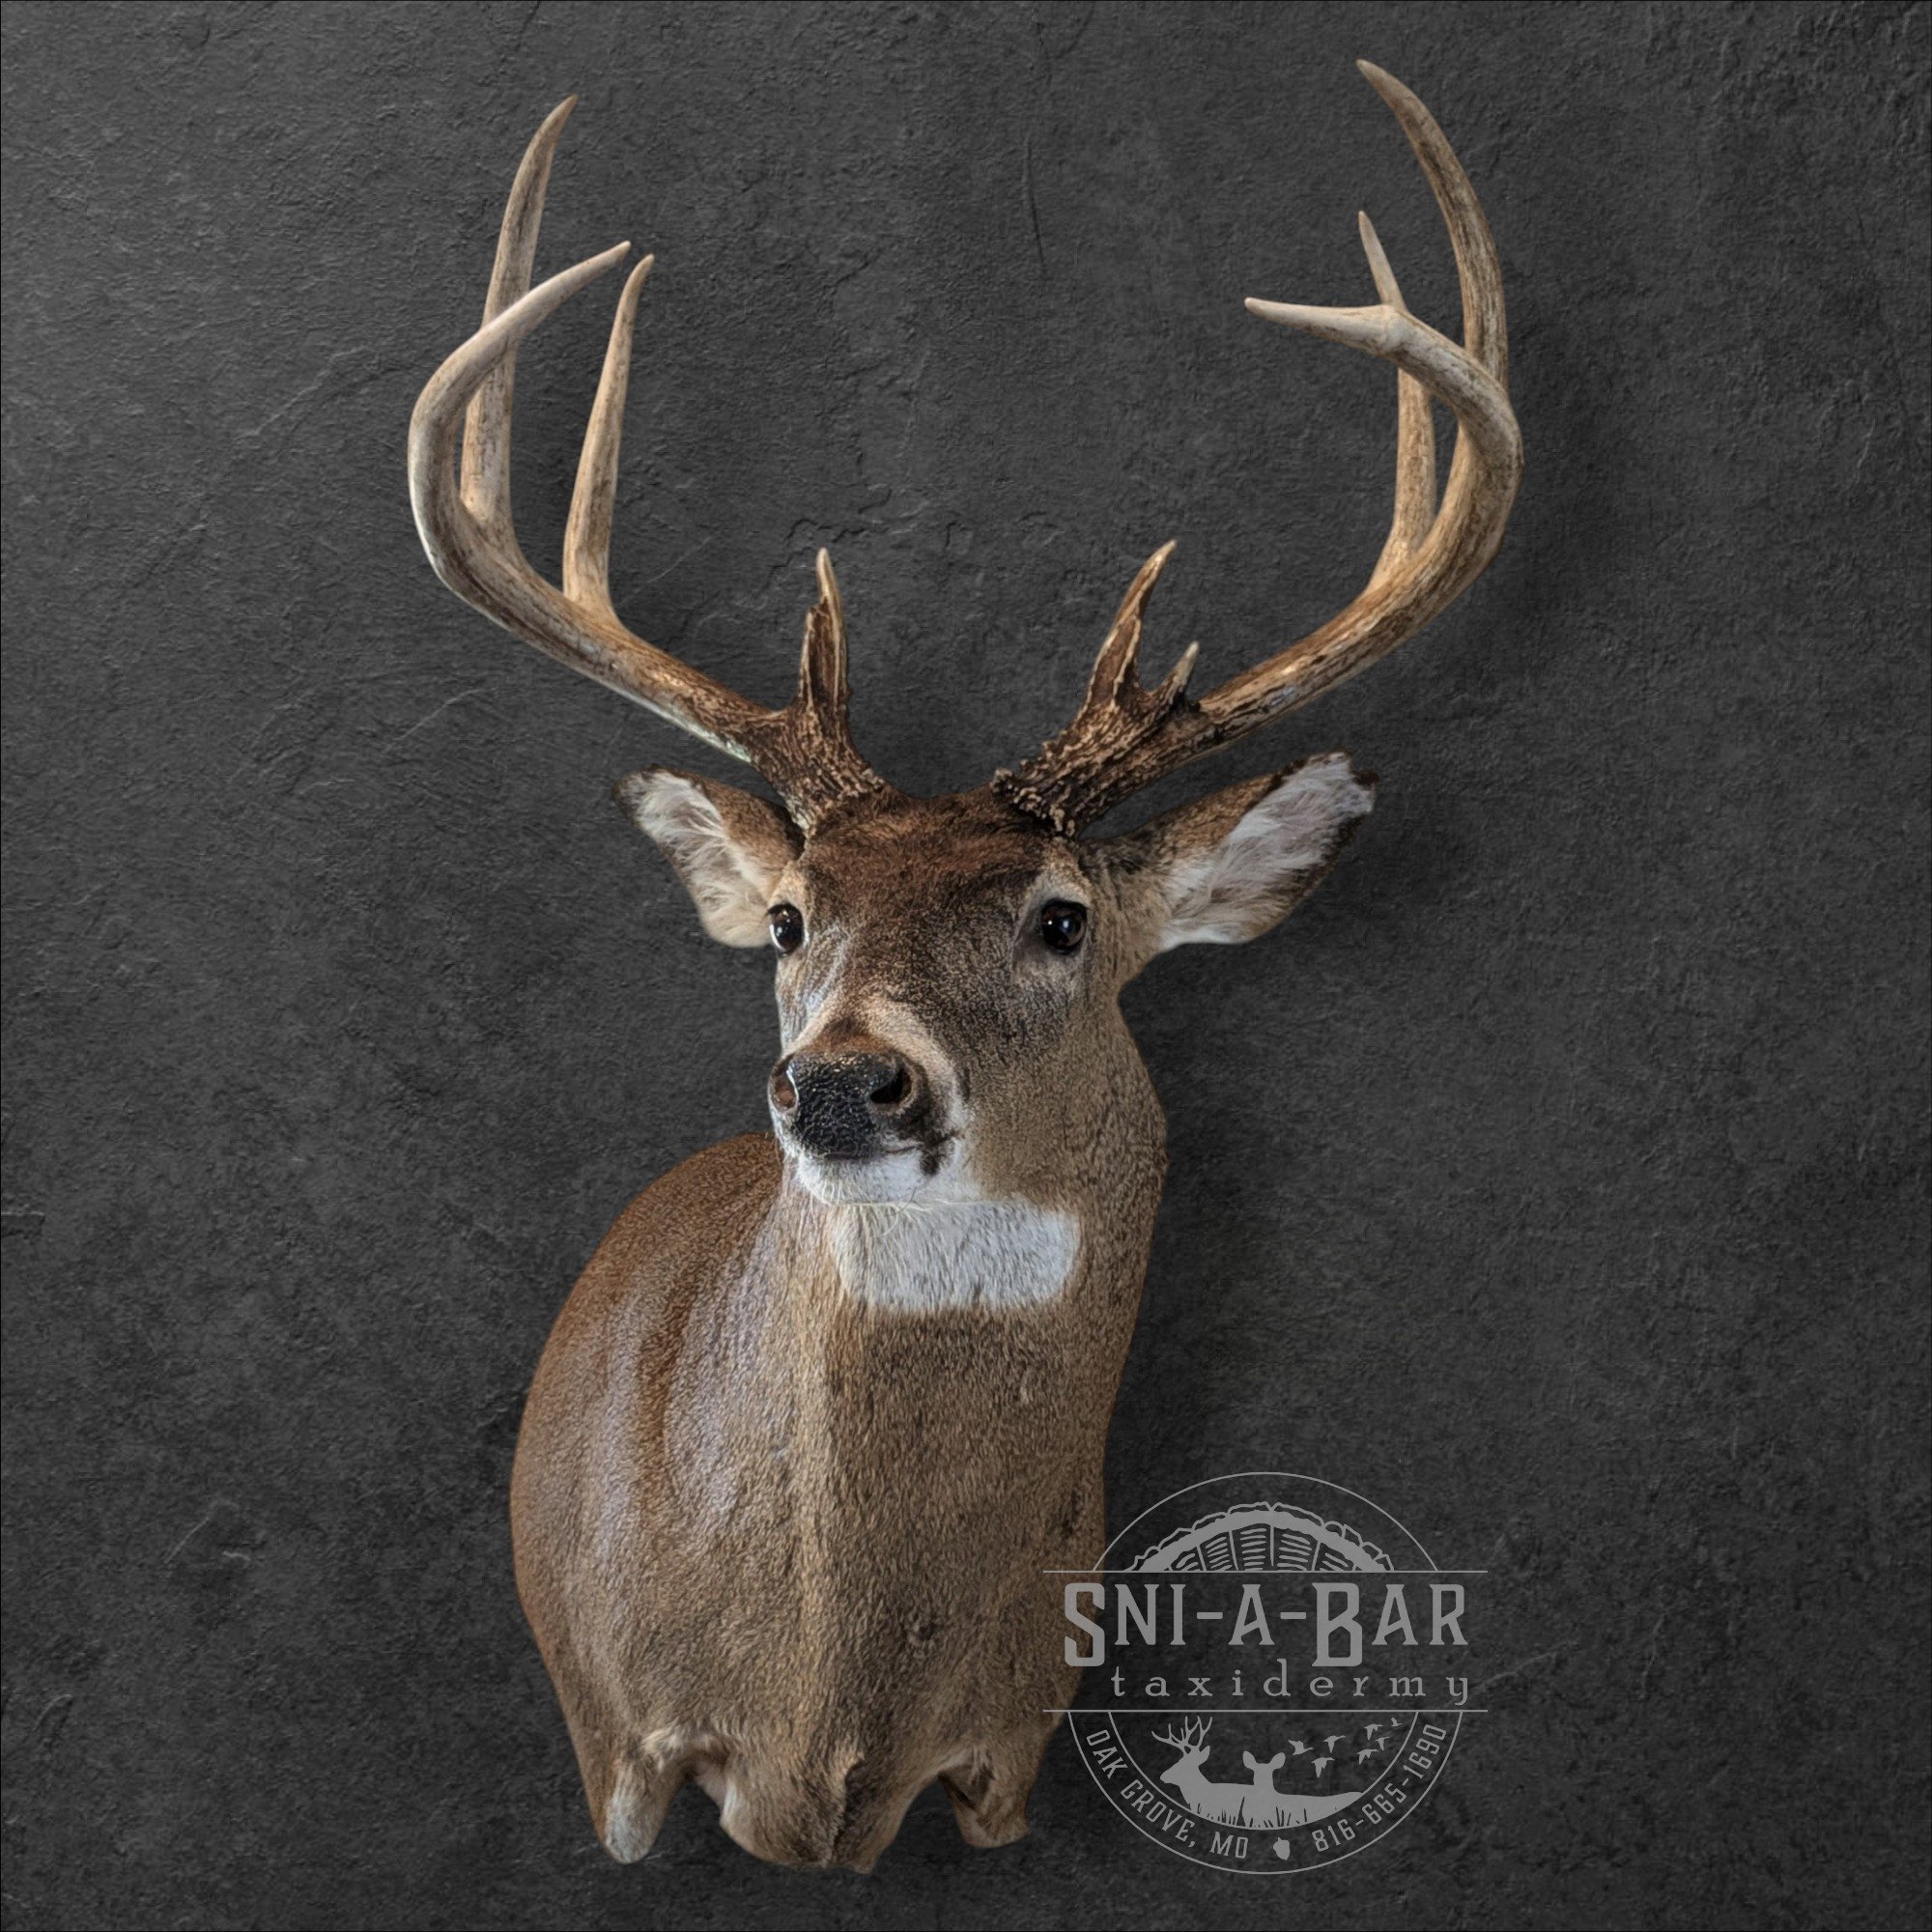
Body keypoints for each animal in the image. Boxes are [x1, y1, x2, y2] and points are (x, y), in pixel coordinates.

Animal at [406, 61, 1519, 1872]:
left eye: (1062, 917)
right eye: (792, 920)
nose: (842, 1080)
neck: (835, 1711)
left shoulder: (1014, 1744)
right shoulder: (617, 1730)